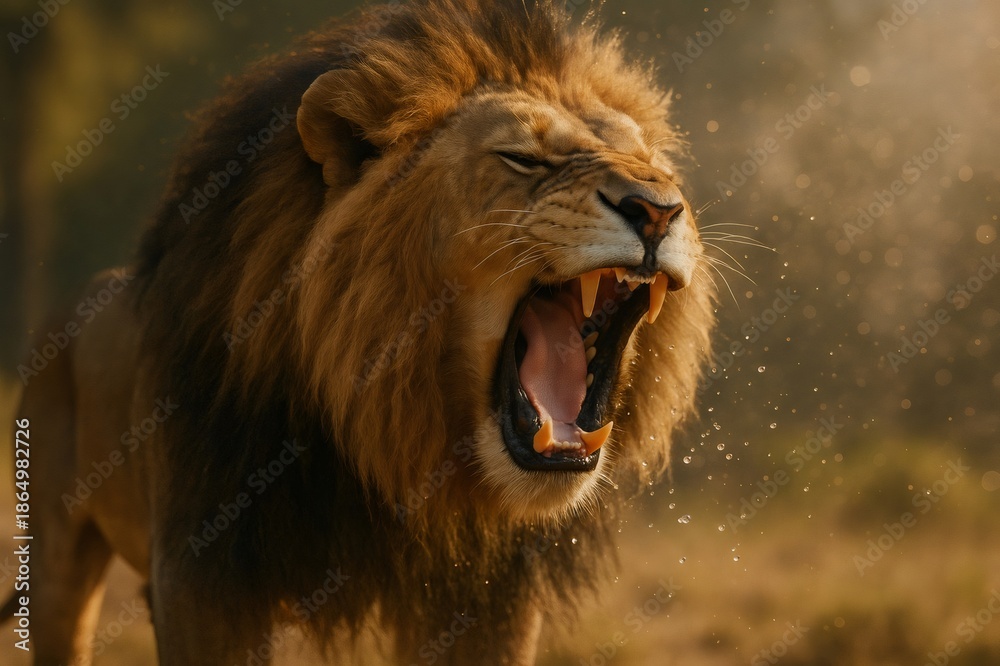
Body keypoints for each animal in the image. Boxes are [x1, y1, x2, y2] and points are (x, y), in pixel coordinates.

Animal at [1, 0, 714, 663]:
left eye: (651, 163)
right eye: (522, 159)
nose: (658, 210)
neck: (386, 437)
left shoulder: (490, 596)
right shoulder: (202, 575)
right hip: (57, 554)